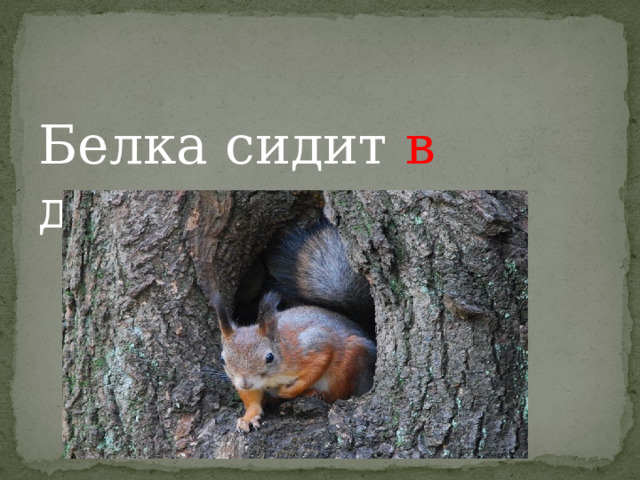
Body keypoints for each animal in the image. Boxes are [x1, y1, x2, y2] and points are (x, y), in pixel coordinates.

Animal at [213, 221, 376, 433]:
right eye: (222, 359)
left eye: (269, 357)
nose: (245, 383)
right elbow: (252, 399)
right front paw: (248, 416)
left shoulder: (313, 344)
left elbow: (318, 365)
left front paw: (289, 391)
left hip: (350, 362)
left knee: (338, 394)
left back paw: (312, 392)